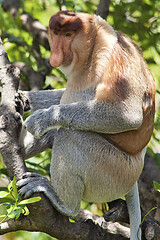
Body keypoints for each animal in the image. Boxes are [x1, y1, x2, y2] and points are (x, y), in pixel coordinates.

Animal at [17, 11, 155, 240]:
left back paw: (62, 202)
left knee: (69, 135)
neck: (94, 46)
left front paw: (41, 118)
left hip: (114, 172)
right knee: (57, 133)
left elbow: (127, 115)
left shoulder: (113, 57)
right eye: (55, 33)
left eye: (68, 34)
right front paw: (23, 98)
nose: (55, 55)